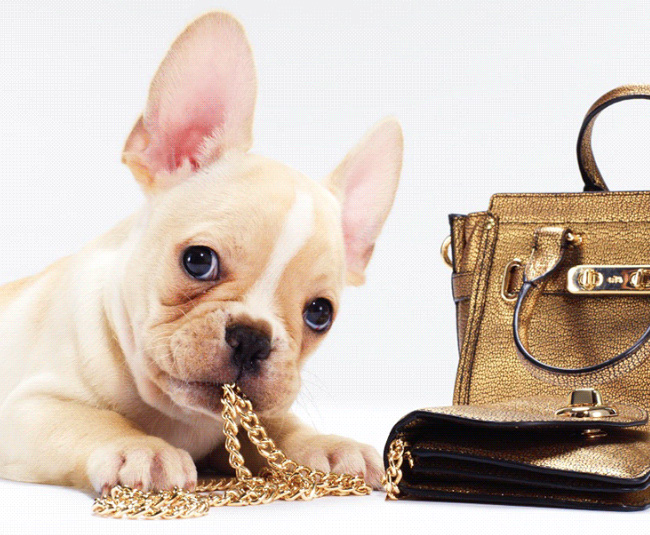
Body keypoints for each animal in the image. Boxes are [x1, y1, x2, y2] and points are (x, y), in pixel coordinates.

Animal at [0, 11, 400, 494]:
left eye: (320, 313)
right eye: (198, 260)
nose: (253, 337)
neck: (176, 414)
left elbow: (283, 427)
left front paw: (329, 443)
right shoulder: (28, 409)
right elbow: (89, 420)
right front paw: (142, 448)